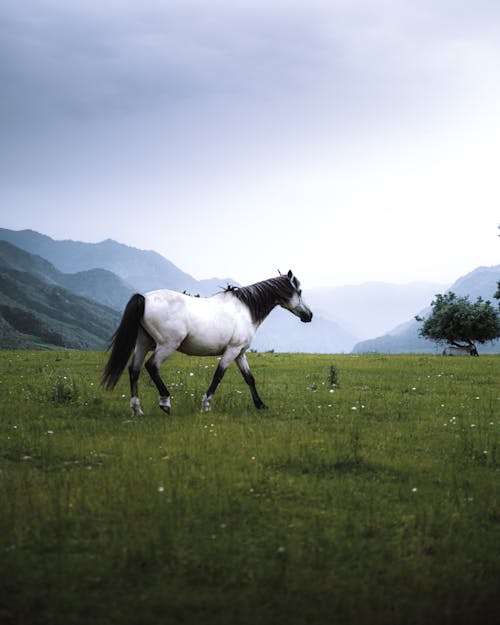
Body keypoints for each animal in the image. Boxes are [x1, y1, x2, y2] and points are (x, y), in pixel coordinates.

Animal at [101, 270, 312, 412]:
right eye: (299, 291)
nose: (309, 316)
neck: (245, 309)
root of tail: (144, 298)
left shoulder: (240, 353)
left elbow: (249, 378)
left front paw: (260, 405)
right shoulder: (232, 350)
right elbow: (218, 376)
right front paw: (206, 405)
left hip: (144, 343)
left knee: (134, 370)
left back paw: (136, 409)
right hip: (167, 345)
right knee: (151, 366)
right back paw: (165, 402)